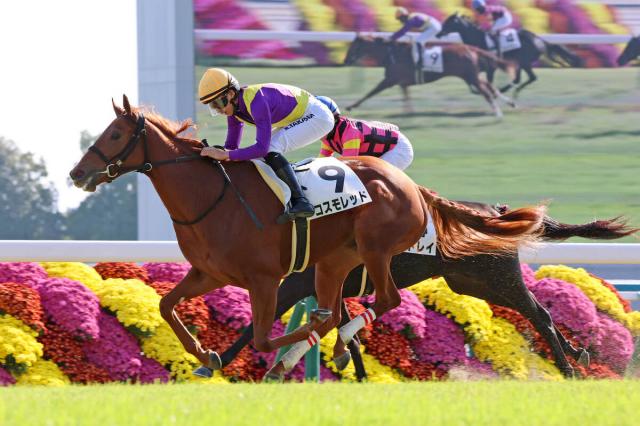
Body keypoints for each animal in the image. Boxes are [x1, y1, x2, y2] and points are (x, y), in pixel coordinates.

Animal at [69, 96, 547, 380]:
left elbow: (262, 337)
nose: (77, 173)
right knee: (340, 309)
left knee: (386, 300)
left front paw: (282, 353)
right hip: (337, 262)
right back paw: (329, 336)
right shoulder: (209, 273)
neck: (214, 197)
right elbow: (167, 305)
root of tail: (416, 190)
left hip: (382, 251)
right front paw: (206, 356)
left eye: (115, 133)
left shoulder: (266, 280)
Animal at [215, 202, 637, 380]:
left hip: (495, 277)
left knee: (541, 314)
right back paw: (578, 354)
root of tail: (499, 213)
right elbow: (347, 334)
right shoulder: (328, 286)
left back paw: (568, 368)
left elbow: (254, 325)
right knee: (537, 313)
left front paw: (217, 361)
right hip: (474, 281)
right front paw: (359, 373)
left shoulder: (297, 283)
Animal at [343, 36, 517, 117]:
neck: (391, 54)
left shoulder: (390, 80)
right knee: (490, 87)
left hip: (470, 76)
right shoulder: (402, 82)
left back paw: (498, 113)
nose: (345, 60)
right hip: (472, 76)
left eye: (354, 46)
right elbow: (406, 96)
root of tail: (471, 49)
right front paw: (409, 112)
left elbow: (371, 92)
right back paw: (510, 103)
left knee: (487, 92)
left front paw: (351, 106)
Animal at [437, 13, 583, 98]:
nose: (438, 34)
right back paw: (509, 92)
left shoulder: (491, 67)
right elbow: (474, 81)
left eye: (448, 22)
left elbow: (488, 81)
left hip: (524, 62)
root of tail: (540, 40)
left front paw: (490, 92)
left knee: (529, 78)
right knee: (520, 79)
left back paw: (508, 92)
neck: (478, 39)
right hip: (520, 63)